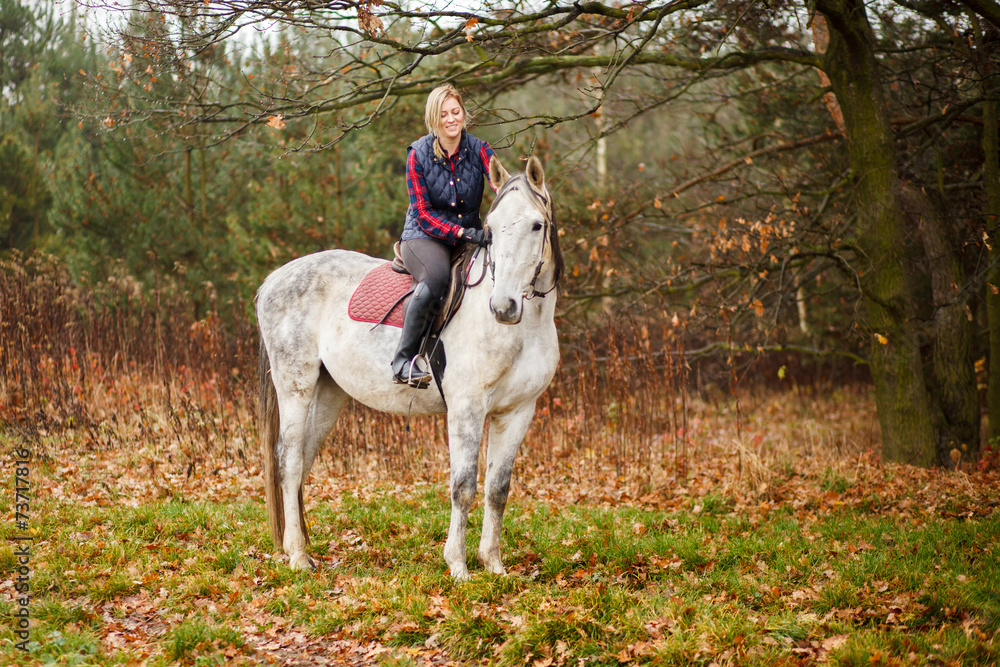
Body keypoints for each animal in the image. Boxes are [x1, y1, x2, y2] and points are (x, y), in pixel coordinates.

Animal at [255, 155, 563, 580]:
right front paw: (459, 567)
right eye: (491, 228)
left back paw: (299, 547)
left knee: (302, 459)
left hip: (329, 392)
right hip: (295, 385)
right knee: (288, 459)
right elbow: (463, 486)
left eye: (536, 225)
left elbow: (498, 488)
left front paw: (494, 565)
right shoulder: (466, 409)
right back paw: (298, 557)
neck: (522, 330)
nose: (503, 307)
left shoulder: (517, 411)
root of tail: (274, 279)